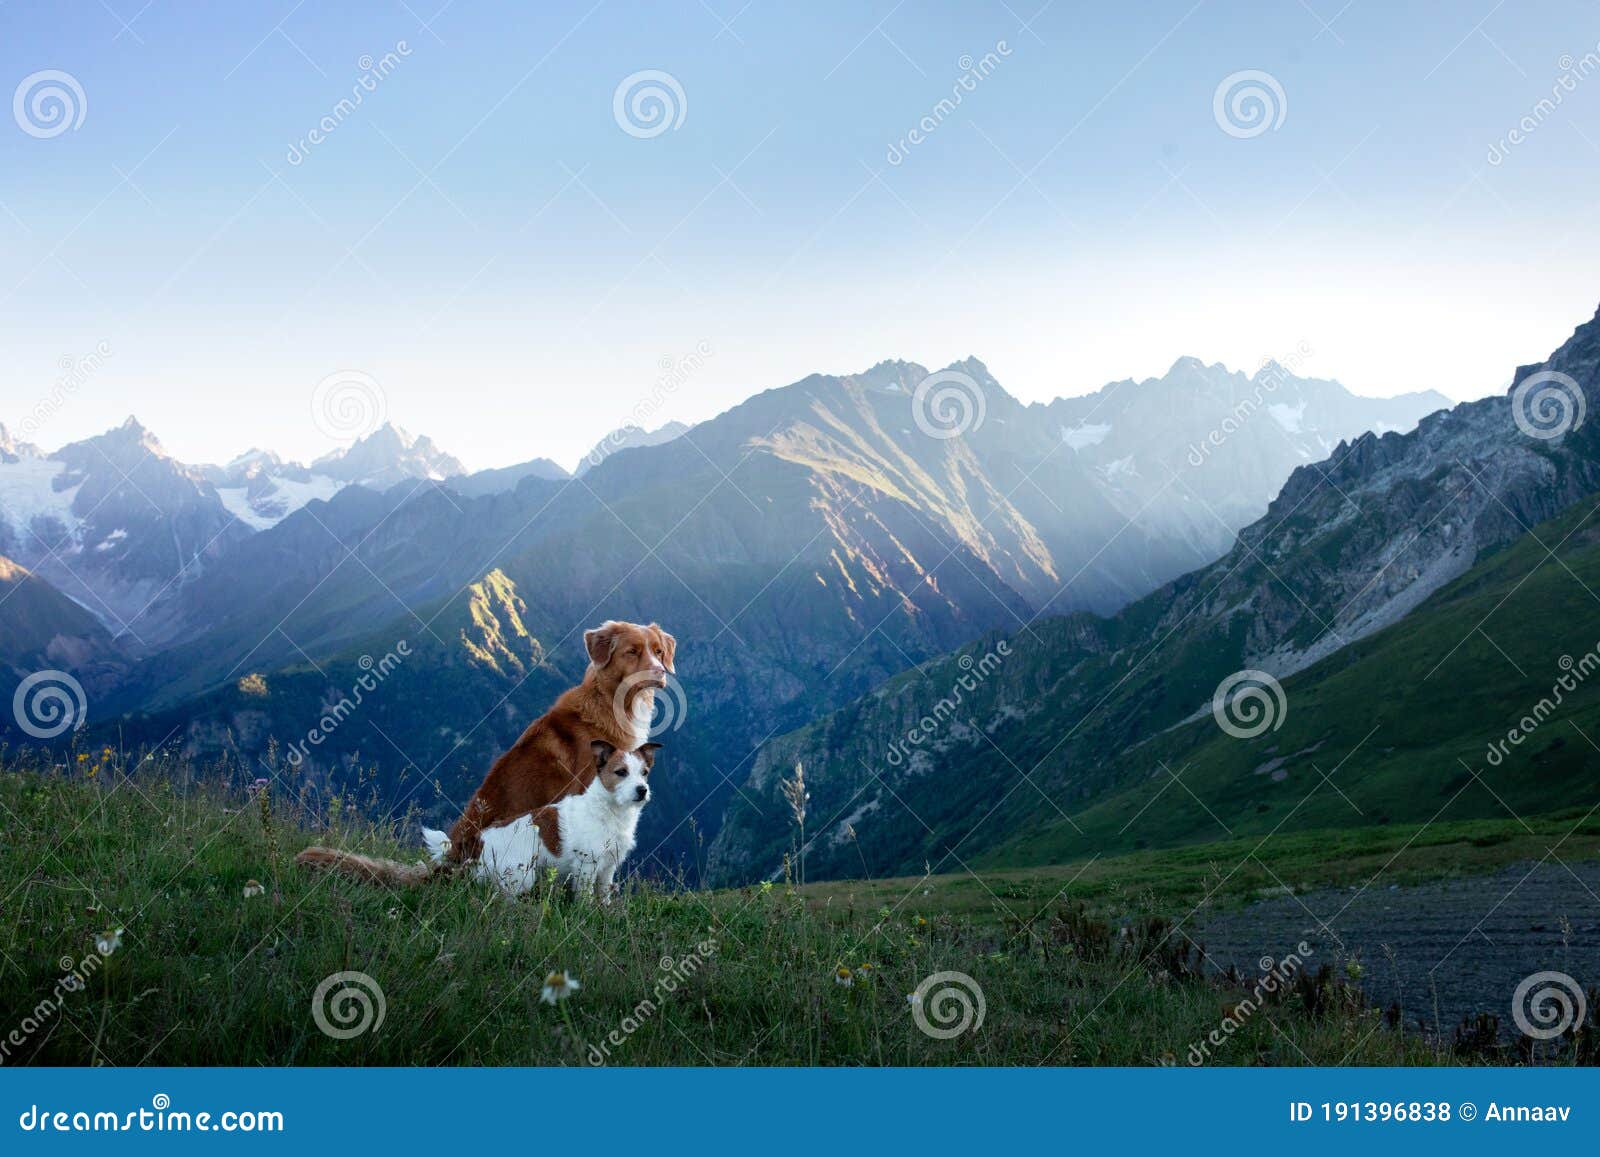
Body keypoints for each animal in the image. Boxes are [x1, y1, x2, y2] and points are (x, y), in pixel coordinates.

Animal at [422, 742, 659, 902]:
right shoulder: (587, 865)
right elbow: (584, 895)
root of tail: (478, 841)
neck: (609, 809)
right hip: (523, 875)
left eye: (644, 773)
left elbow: (604, 894)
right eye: (621, 772)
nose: (642, 790)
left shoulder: (608, 866)